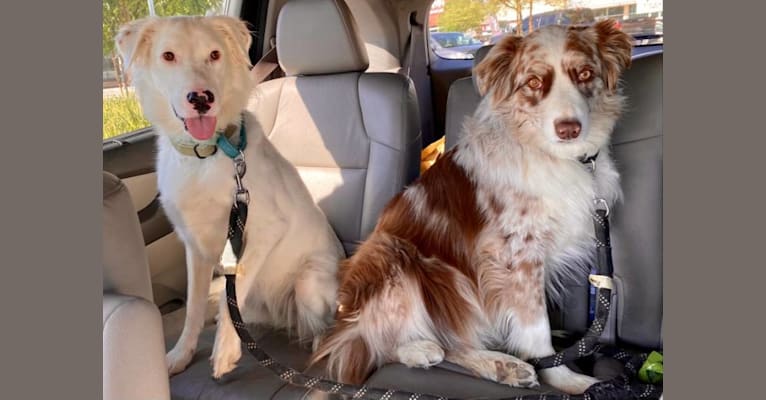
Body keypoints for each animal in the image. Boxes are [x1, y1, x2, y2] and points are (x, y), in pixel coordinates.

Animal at [115, 15, 344, 378]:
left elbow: (232, 292)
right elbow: (194, 307)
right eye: (168, 56)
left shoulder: (266, 231)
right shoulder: (194, 247)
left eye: (214, 54)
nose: (201, 98)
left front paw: (225, 350)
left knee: (324, 325)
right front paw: (181, 354)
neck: (204, 156)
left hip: (308, 282)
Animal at [308, 21, 632, 394]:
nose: (569, 129)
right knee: (378, 344)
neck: (548, 153)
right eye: (534, 82)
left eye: (585, 73)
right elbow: (535, 326)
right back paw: (452, 355)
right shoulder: (515, 255)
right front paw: (566, 378)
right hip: (401, 258)